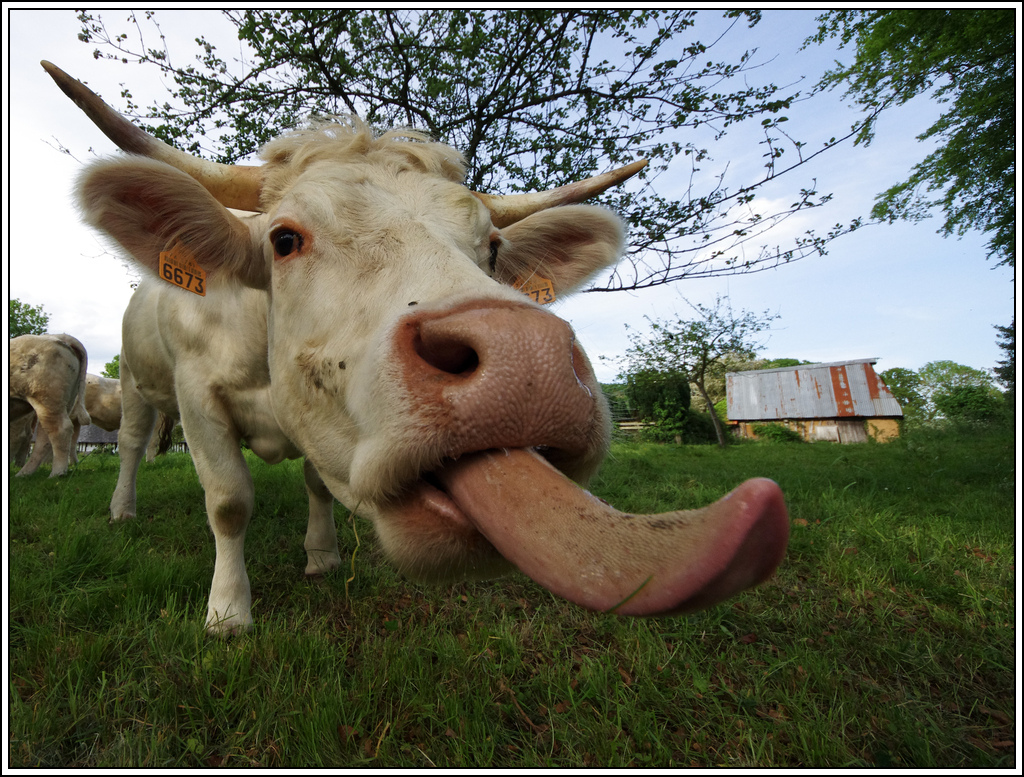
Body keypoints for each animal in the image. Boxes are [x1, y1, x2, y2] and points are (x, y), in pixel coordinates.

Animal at [8, 331, 90, 477]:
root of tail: (60, 336)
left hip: (47, 398)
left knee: (59, 430)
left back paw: (57, 473)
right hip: (63, 402)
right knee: (43, 439)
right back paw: (24, 474)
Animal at [44, 57, 786, 634]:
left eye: (493, 247)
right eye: (284, 238)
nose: (528, 363)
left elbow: (315, 483)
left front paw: (321, 555)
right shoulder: (200, 397)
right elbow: (228, 503)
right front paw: (228, 612)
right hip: (137, 386)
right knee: (133, 444)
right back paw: (122, 509)